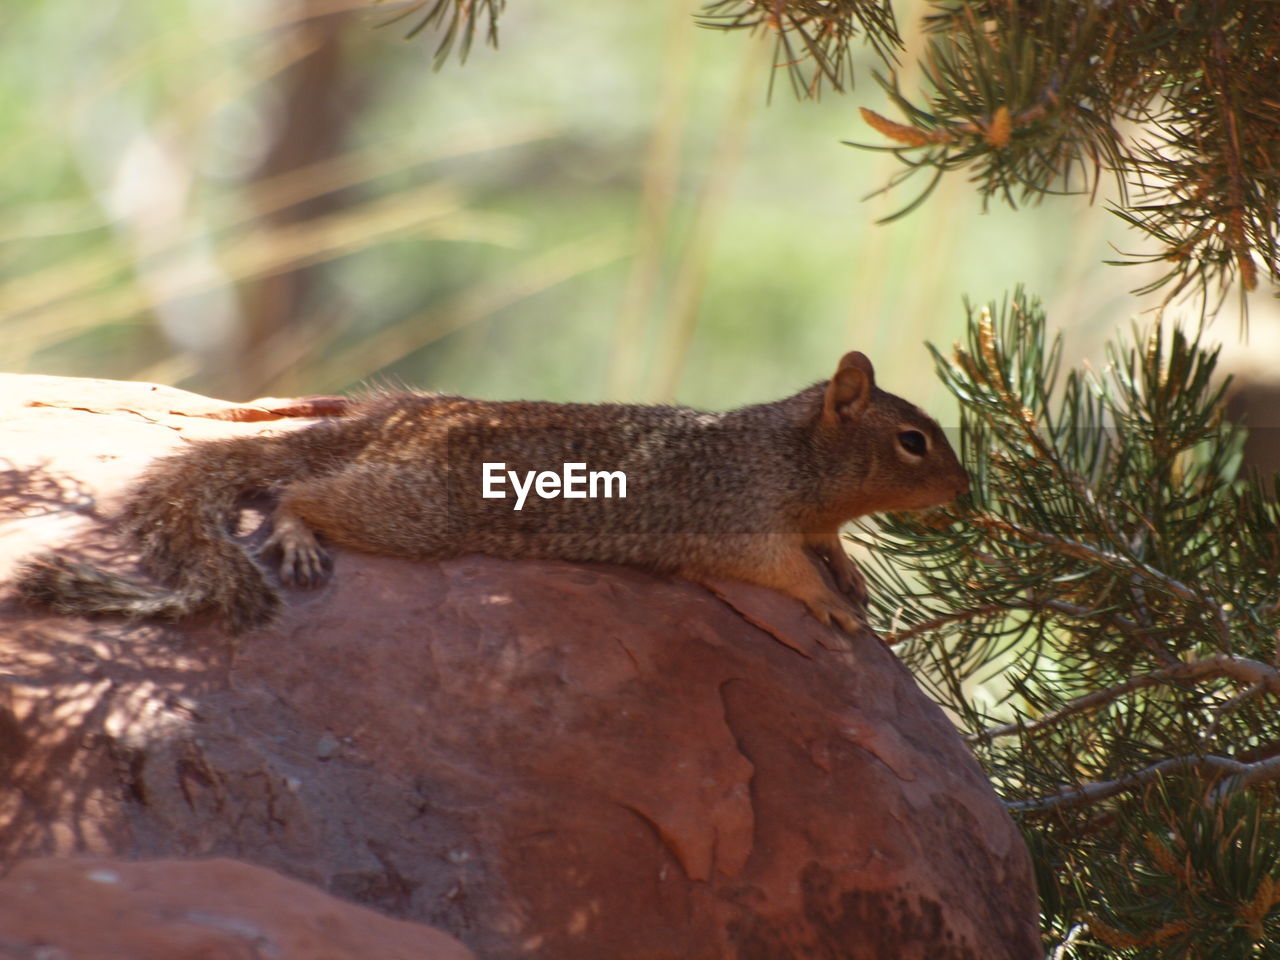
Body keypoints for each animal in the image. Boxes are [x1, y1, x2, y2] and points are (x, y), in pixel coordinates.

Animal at [12, 353, 967, 640]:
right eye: (913, 440)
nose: (964, 486)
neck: (790, 453)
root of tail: (385, 428)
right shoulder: (735, 516)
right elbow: (777, 567)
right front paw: (826, 601)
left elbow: (825, 543)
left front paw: (849, 569)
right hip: (410, 510)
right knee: (300, 489)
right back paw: (295, 533)